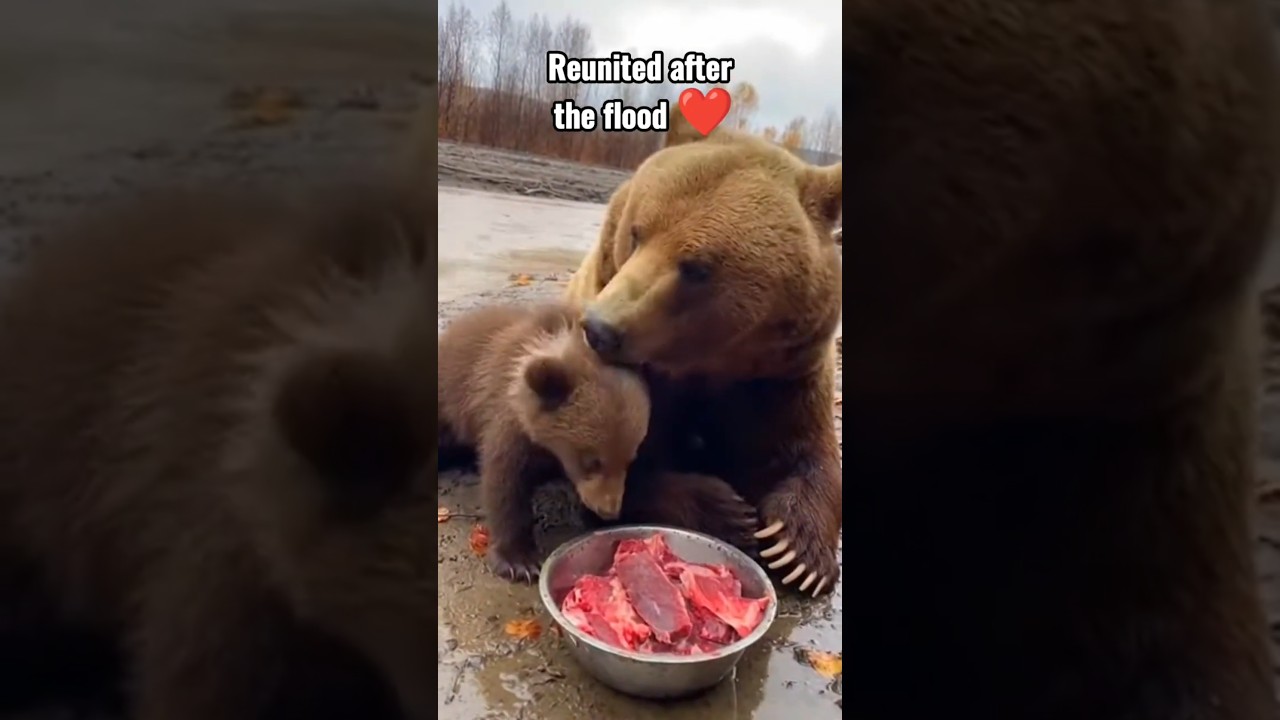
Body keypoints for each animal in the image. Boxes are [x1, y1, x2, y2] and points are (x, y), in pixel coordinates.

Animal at [437, 302, 652, 582]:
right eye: (592, 461)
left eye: (630, 458)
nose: (608, 510)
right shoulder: (509, 422)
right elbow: (505, 483)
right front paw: (520, 561)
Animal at [566, 109, 844, 597]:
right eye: (636, 233)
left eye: (696, 267)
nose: (600, 327)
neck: (711, 364)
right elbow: (617, 464)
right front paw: (728, 511)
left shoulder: (785, 372)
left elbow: (810, 452)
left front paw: (796, 549)